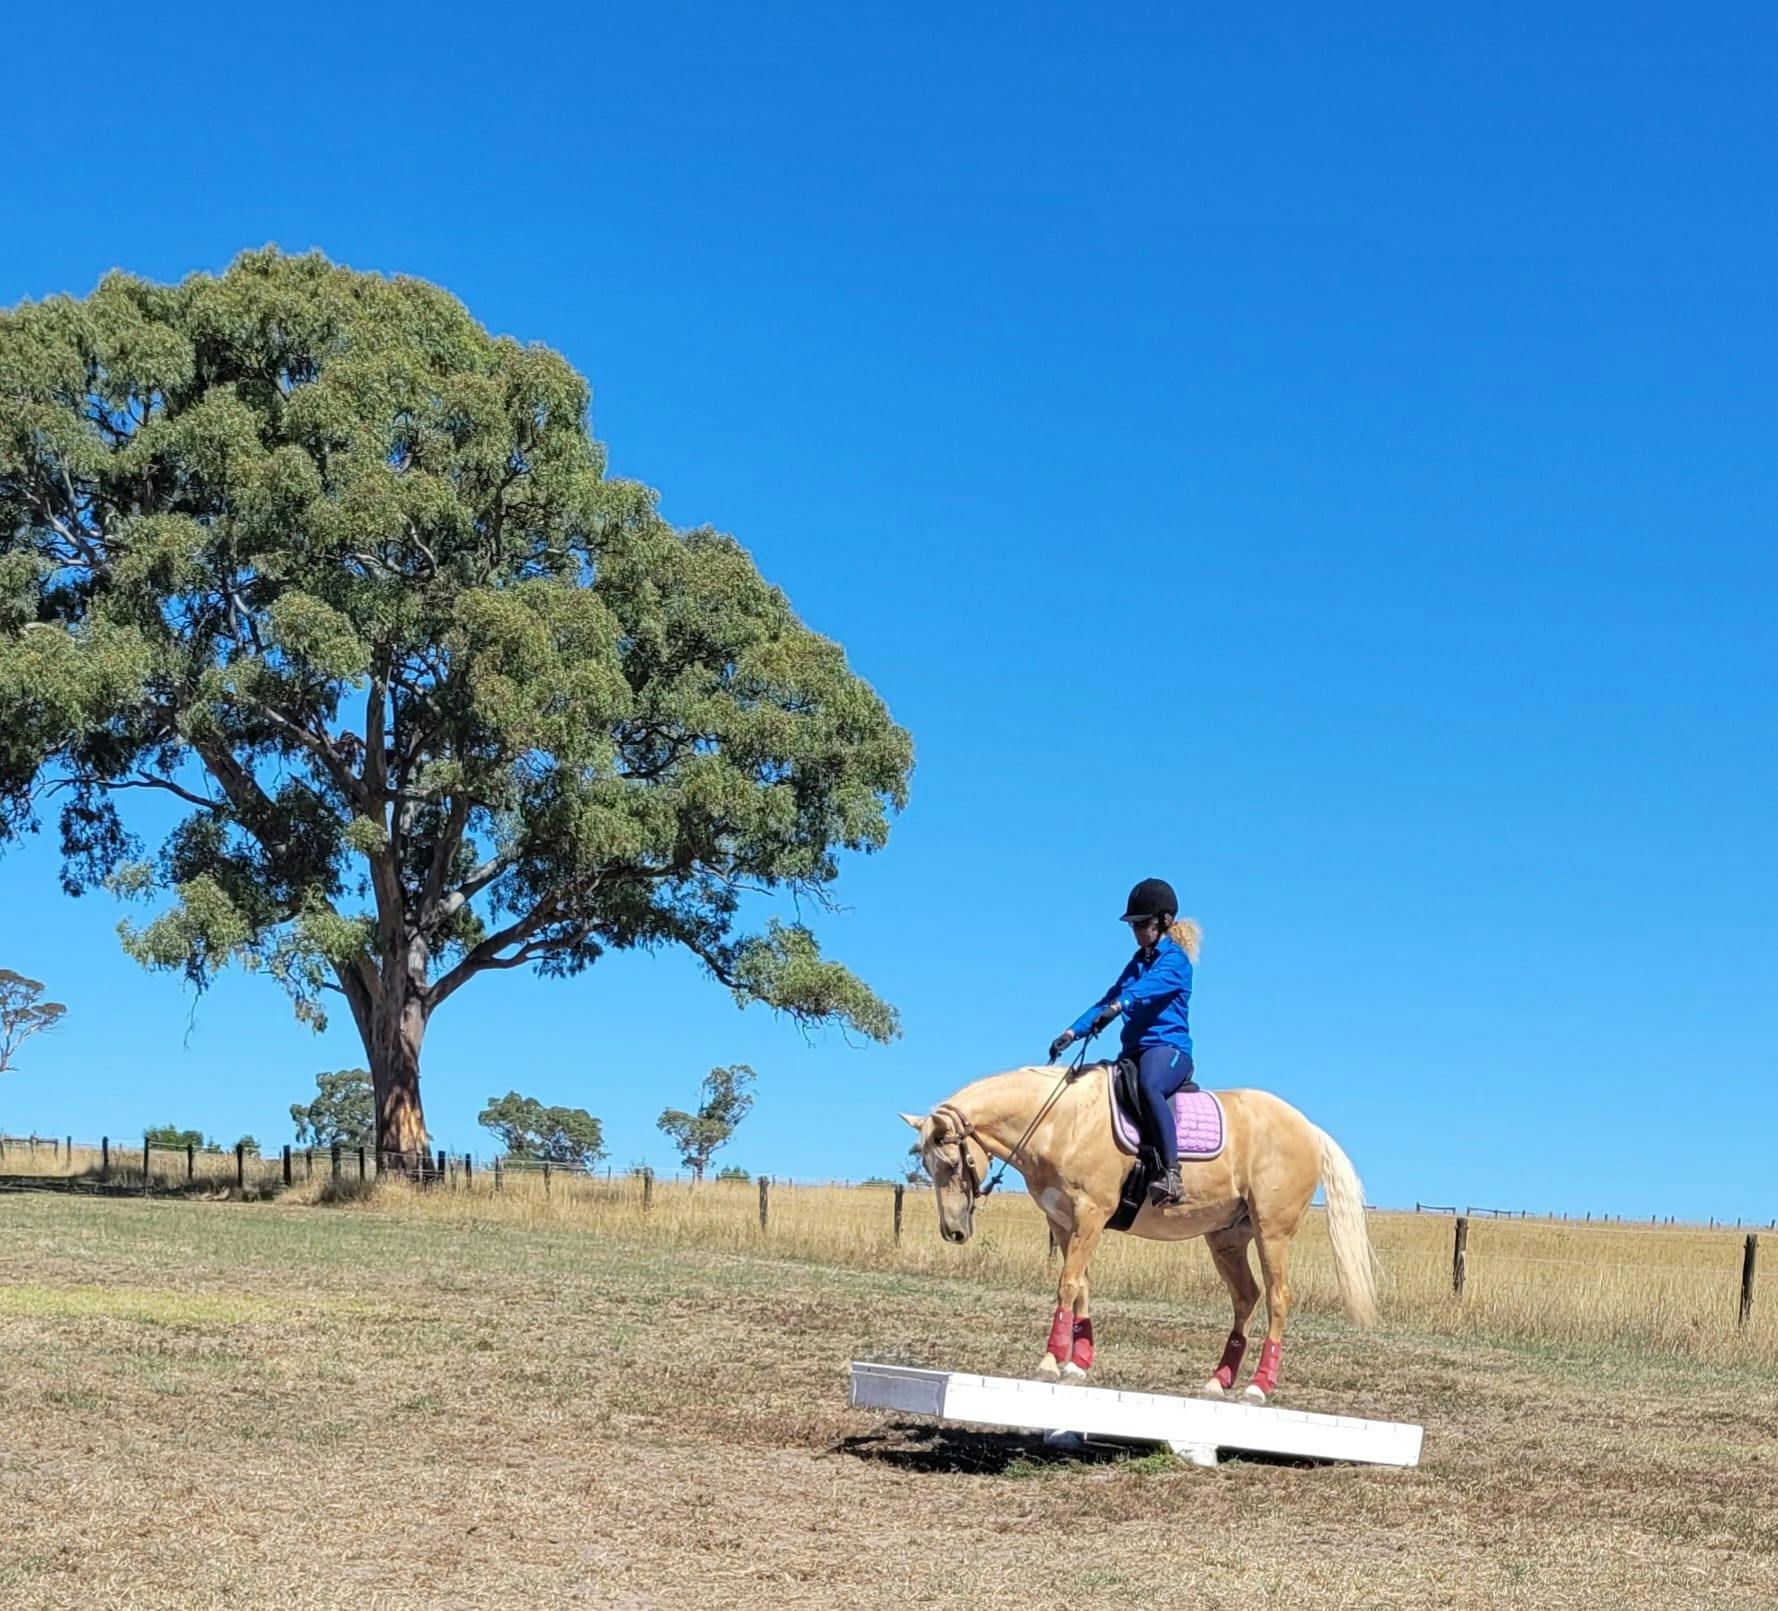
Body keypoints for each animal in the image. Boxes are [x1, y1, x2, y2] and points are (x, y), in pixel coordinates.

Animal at [901, 1061, 1377, 1402]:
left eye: (952, 1163)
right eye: (927, 1164)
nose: (953, 1231)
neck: (1061, 1122)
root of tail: (1309, 1129)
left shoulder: (1091, 1214)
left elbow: (1067, 1284)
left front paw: (1050, 1362)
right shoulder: (1065, 1222)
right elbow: (1081, 1285)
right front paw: (1078, 1364)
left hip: (1271, 1232)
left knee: (1278, 1298)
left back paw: (1258, 1387)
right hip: (1226, 1236)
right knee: (1246, 1297)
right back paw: (1218, 1381)